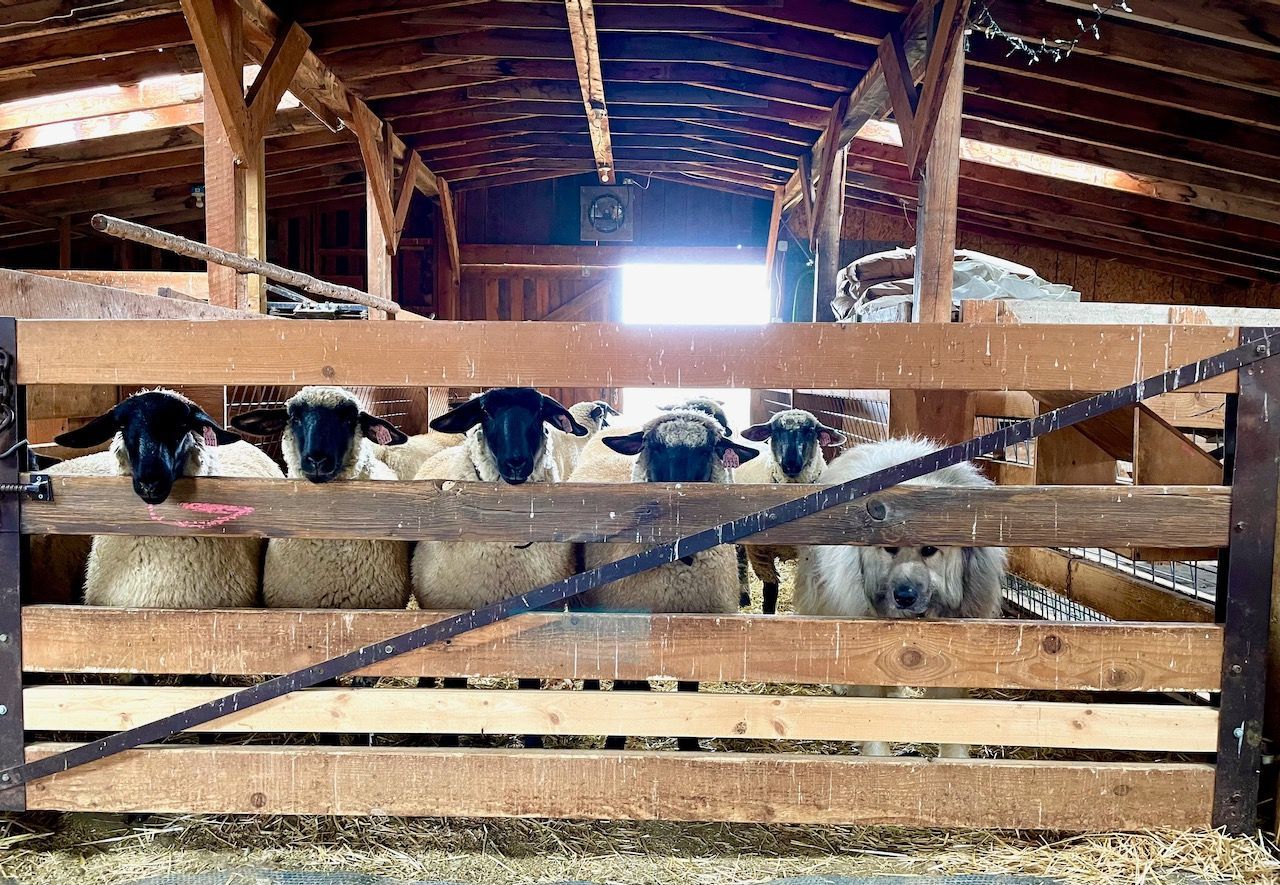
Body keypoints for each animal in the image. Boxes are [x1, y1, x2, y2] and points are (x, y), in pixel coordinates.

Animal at [571, 409, 760, 751]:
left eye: (707, 449)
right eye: (655, 447)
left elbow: (688, 694)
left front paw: (690, 747)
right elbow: (623, 694)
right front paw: (614, 743)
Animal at [735, 409, 847, 614]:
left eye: (810, 431)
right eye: (776, 430)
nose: (791, 463)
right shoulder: (761, 554)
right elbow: (770, 593)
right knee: (740, 560)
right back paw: (744, 596)